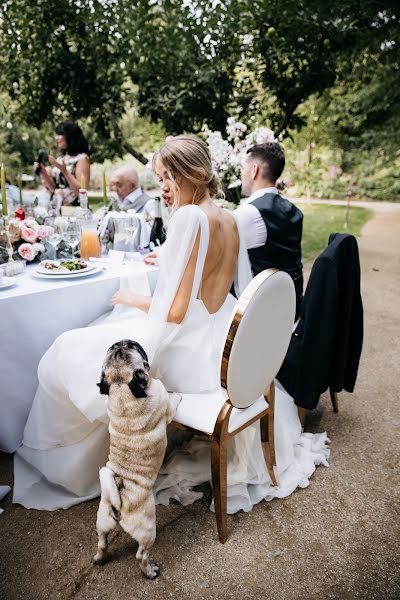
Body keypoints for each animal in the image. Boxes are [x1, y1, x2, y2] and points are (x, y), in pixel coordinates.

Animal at [93, 340, 180, 580]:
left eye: (124, 346)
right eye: (134, 347)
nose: (120, 342)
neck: (121, 387)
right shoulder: (164, 401)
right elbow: (172, 400)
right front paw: (178, 394)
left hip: (102, 520)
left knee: (102, 541)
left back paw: (100, 559)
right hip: (148, 530)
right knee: (141, 555)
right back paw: (150, 571)